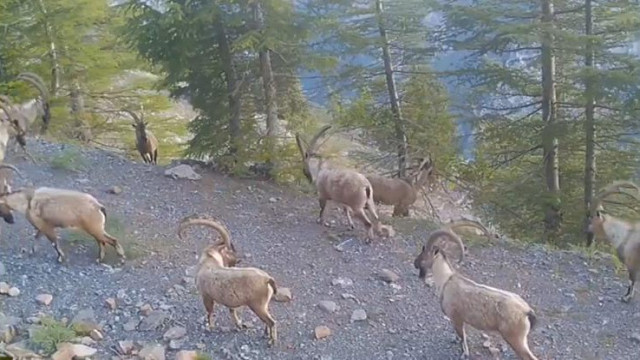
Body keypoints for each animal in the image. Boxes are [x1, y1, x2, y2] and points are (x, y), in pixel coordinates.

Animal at [180, 215, 280, 344]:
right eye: (229, 251)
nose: (237, 261)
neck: (208, 262)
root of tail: (267, 279)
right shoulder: (230, 302)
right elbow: (232, 311)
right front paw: (238, 325)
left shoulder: (207, 296)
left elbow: (210, 312)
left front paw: (210, 327)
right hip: (264, 305)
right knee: (268, 320)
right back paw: (265, 334)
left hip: (257, 305)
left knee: (271, 322)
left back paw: (272, 341)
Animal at [410, 228, 540, 360]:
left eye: (424, 254)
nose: (415, 263)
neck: (446, 280)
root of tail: (527, 311)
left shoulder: (457, 318)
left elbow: (462, 337)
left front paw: (464, 353)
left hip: (515, 338)